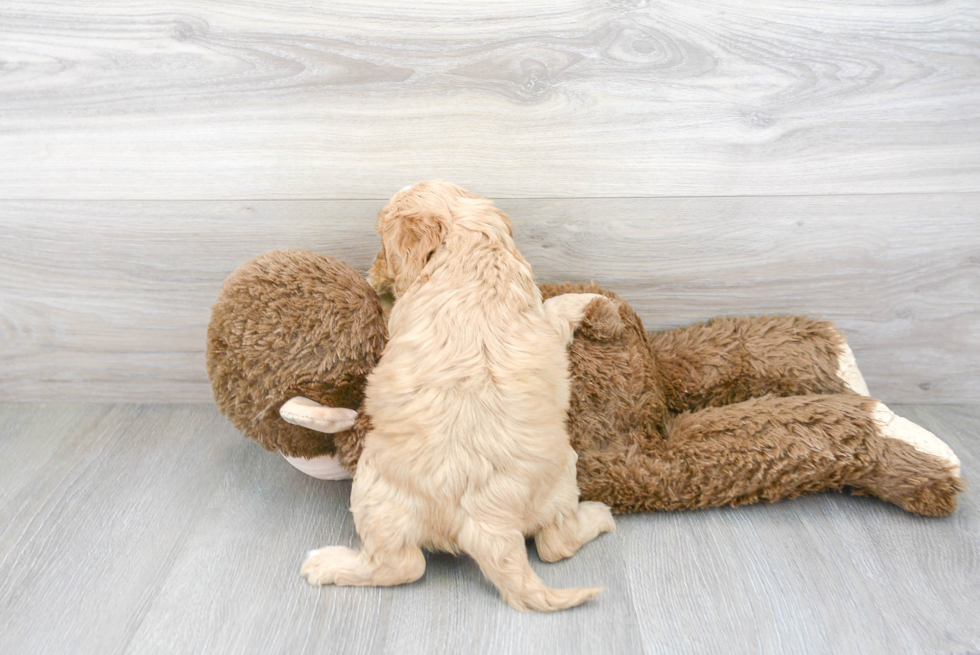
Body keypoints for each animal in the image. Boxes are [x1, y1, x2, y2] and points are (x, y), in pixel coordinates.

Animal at [302, 182, 616, 612]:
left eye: (383, 242)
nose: (370, 274)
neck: (471, 249)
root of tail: (489, 524)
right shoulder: (538, 318)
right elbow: (553, 310)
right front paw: (588, 301)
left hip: (372, 488)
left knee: (402, 566)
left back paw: (326, 564)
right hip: (560, 480)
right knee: (555, 543)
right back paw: (598, 516)